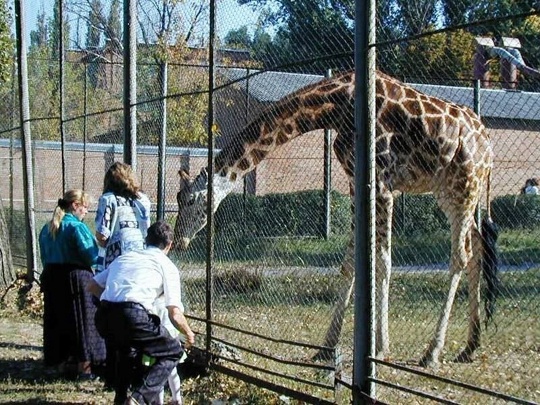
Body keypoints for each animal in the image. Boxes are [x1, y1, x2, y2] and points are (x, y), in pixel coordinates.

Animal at [173, 70, 498, 366]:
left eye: (189, 200)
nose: (179, 240)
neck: (335, 106)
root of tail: (487, 142)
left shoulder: (383, 184)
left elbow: (382, 261)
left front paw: (381, 349)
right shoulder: (357, 181)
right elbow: (350, 263)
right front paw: (327, 347)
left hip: (464, 184)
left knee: (460, 255)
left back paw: (432, 353)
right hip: (449, 192)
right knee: (478, 246)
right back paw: (469, 346)